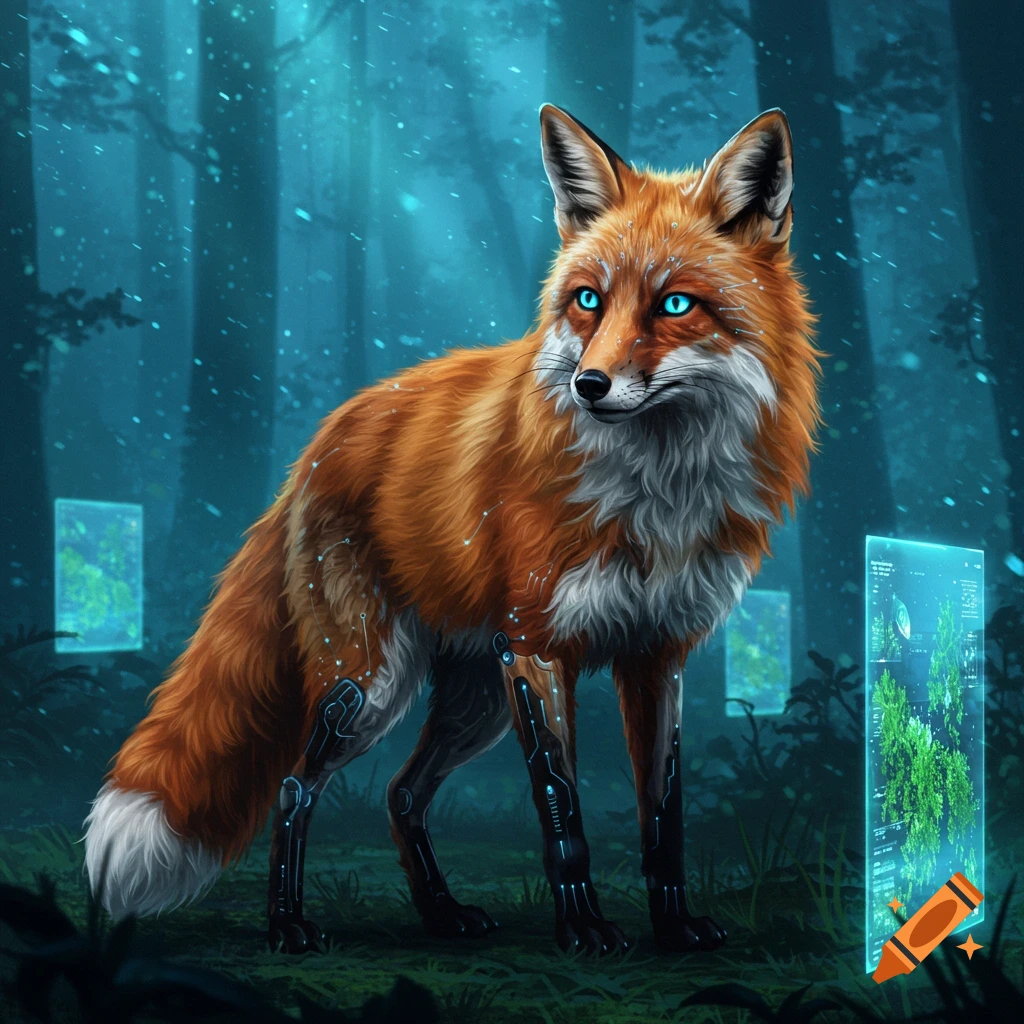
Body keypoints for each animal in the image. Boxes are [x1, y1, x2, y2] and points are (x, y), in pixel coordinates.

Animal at [84, 104, 820, 956]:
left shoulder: (658, 654)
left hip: (476, 701)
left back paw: (440, 914)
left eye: (675, 305)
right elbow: (563, 813)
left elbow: (662, 816)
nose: (588, 385)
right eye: (588, 301)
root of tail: (324, 438)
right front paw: (583, 929)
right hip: (369, 684)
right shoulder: (538, 645)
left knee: (401, 795)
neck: (656, 496)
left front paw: (672, 927)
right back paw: (288, 924)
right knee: (297, 786)